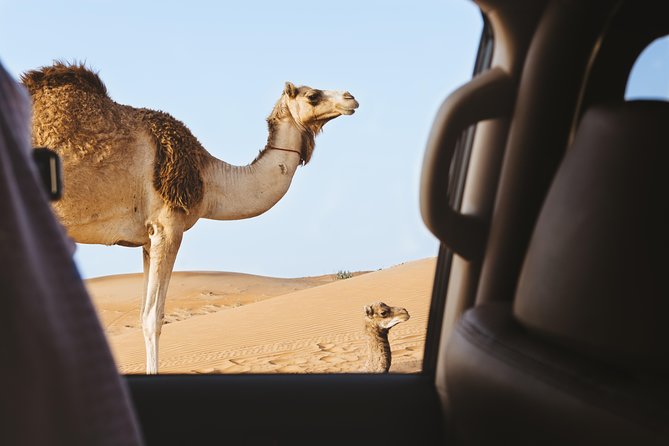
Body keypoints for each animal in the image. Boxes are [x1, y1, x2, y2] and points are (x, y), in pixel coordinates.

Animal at [21, 62, 359, 374]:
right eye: (313, 95)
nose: (351, 97)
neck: (208, 179)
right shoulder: (168, 226)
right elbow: (153, 318)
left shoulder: (147, 238)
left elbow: (143, 313)